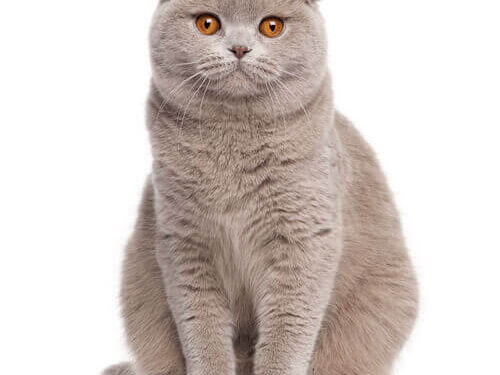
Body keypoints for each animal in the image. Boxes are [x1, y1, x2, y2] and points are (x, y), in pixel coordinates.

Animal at [104, 0, 418, 375]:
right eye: (207, 23)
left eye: (271, 26)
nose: (240, 48)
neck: (233, 141)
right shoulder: (185, 242)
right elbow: (202, 331)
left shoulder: (303, 240)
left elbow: (287, 330)